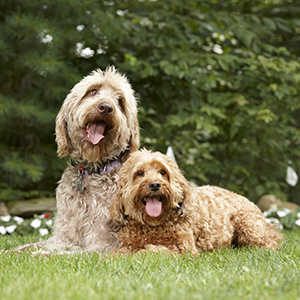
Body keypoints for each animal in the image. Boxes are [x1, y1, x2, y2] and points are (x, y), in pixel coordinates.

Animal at [110, 149, 284, 254]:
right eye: (139, 173)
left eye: (163, 172)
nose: (154, 184)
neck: (153, 224)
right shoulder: (127, 244)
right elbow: (117, 253)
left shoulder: (184, 248)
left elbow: (156, 250)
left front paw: (142, 253)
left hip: (249, 228)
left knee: (270, 244)